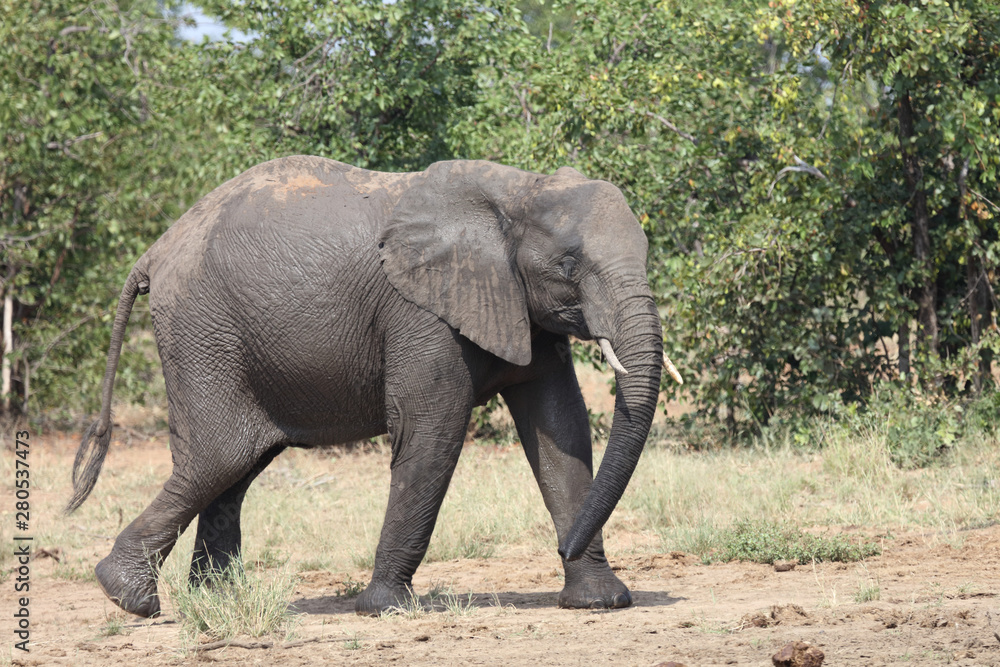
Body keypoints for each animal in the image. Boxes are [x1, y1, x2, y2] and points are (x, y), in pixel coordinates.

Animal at [68, 155, 673, 618]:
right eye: (569, 265)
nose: (562, 546)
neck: (517, 188)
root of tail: (155, 250)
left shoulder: (523, 308)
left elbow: (559, 428)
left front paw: (600, 602)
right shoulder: (419, 313)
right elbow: (432, 430)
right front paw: (385, 608)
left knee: (239, 465)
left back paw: (217, 600)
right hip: (202, 333)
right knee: (220, 455)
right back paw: (130, 598)